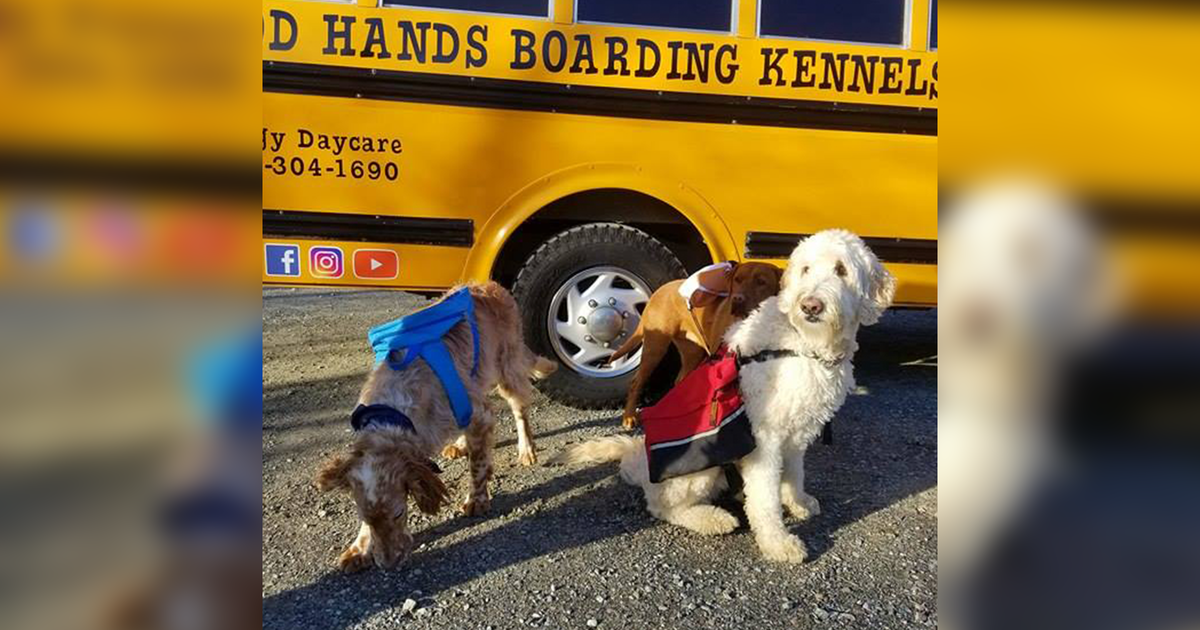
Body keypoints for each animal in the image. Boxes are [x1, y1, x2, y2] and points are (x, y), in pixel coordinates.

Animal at [309, 282, 552, 571]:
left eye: (399, 513)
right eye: (366, 517)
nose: (388, 563)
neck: (393, 410)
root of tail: (490, 285)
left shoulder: (482, 415)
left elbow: (479, 465)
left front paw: (477, 501)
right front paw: (359, 549)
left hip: (508, 370)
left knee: (520, 410)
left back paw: (526, 450)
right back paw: (460, 444)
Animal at [604, 259, 782, 427]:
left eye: (761, 282)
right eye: (737, 280)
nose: (737, 298)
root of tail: (659, 290)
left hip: (692, 354)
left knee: (679, 381)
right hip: (655, 347)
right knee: (636, 382)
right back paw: (629, 417)